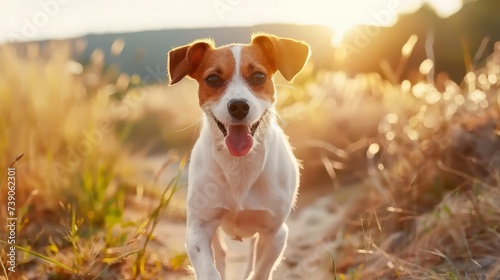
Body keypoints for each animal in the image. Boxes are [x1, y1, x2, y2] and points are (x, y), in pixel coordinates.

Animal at [168, 34, 308, 278]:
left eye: (258, 76)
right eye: (213, 79)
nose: (239, 106)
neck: (239, 165)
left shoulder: (276, 234)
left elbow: (259, 272)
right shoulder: (198, 229)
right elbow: (210, 270)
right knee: (221, 254)